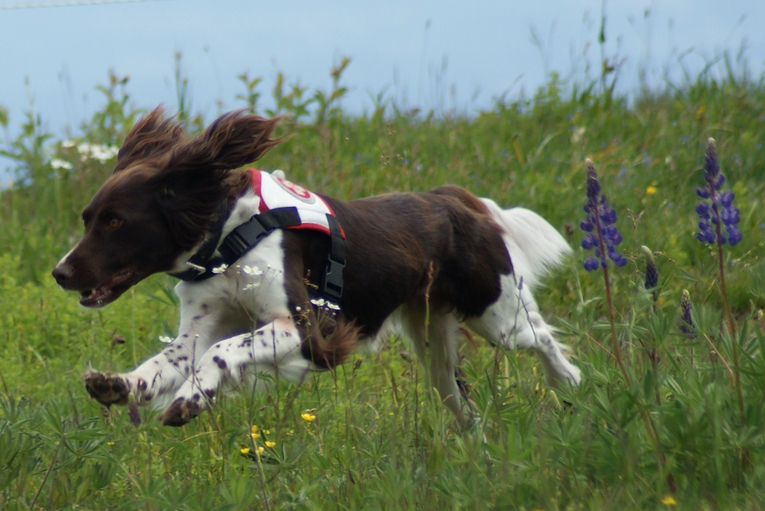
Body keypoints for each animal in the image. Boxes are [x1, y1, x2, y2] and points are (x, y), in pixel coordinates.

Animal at [52, 108, 580, 428]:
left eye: (116, 221)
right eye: (87, 218)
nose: (60, 273)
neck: (228, 241)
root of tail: (452, 198)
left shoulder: (309, 329)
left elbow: (223, 351)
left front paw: (189, 400)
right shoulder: (199, 327)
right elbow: (165, 363)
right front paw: (118, 385)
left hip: (497, 312)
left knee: (543, 339)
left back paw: (573, 390)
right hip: (433, 345)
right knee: (463, 406)